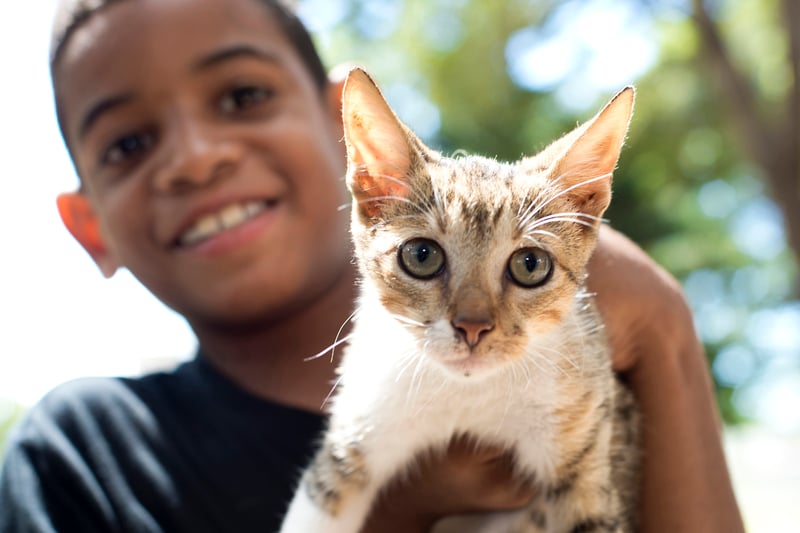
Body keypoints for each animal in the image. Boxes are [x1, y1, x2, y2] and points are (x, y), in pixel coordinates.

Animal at [278, 68, 640, 532]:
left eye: (530, 265)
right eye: (421, 256)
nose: (473, 326)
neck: (468, 399)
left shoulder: (587, 449)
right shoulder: (353, 438)